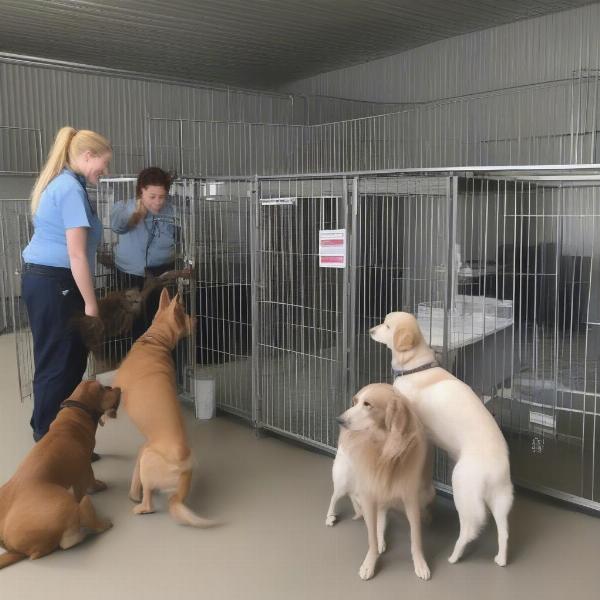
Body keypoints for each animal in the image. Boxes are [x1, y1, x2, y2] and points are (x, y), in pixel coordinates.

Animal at [0, 382, 120, 568]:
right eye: (102, 388)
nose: (115, 387)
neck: (76, 411)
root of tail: (17, 550)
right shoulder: (84, 467)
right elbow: (91, 479)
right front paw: (97, 486)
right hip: (65, 503)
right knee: (80, 523)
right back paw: (102, 521)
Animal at [111, 288, 217, 528]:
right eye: (186, 313)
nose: (196, 320)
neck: (154, 341)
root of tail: (184, 470)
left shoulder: (116, 386)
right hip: (145, 452)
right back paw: (135, 493)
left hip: (148, 457)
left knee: (149, 503)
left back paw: (139, 507)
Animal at [330, 384, 434, 580]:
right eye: (355, 401)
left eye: (367, 404)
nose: (339, 420)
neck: (384, 448)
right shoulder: (368, 494)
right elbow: (371, 537)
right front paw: (370, 563)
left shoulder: (410, 498)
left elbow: (415, 537)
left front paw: (420, 564)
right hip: (345, 481)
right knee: (337, 497)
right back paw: (330, 517)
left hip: (428, 492)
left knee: (384, 512)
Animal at [368, 314, 512, 568]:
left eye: (387, 326)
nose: (370, 330)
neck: (416, 367)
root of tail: (495, 467)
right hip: (501, 499)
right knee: (504, 532)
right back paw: (501, 559)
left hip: (463, 490)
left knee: (470, 529)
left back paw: (454, 556)